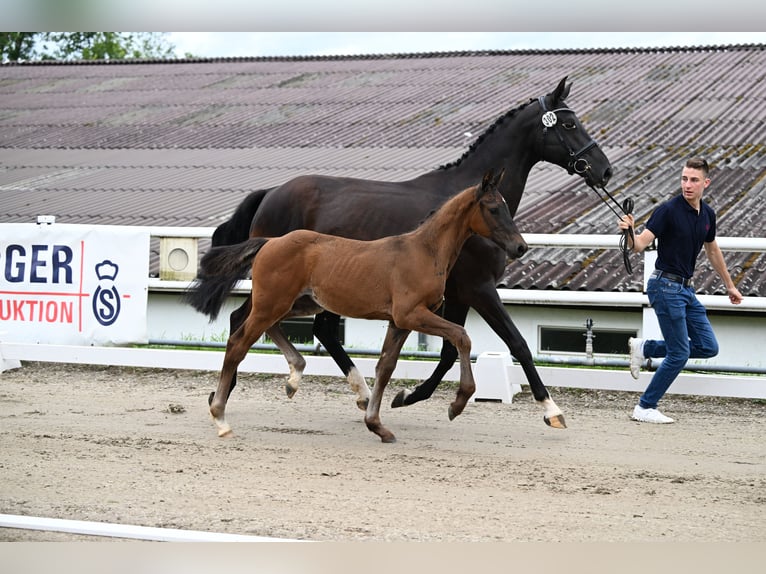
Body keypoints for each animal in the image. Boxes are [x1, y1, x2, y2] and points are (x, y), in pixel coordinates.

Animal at [189, 171, 532, 446]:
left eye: (506, 206)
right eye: (493, 208)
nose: (520, 247)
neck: (423, 250)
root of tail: (269, 242)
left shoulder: (399, 321)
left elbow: (385, 367)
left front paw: (378, 426)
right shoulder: (412, 313)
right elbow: (461, 336)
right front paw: (457, 404)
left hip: (298, 303)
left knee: (263, 327)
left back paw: (294, 376)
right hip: (274, 302)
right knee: (238, 343)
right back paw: (221, 418)